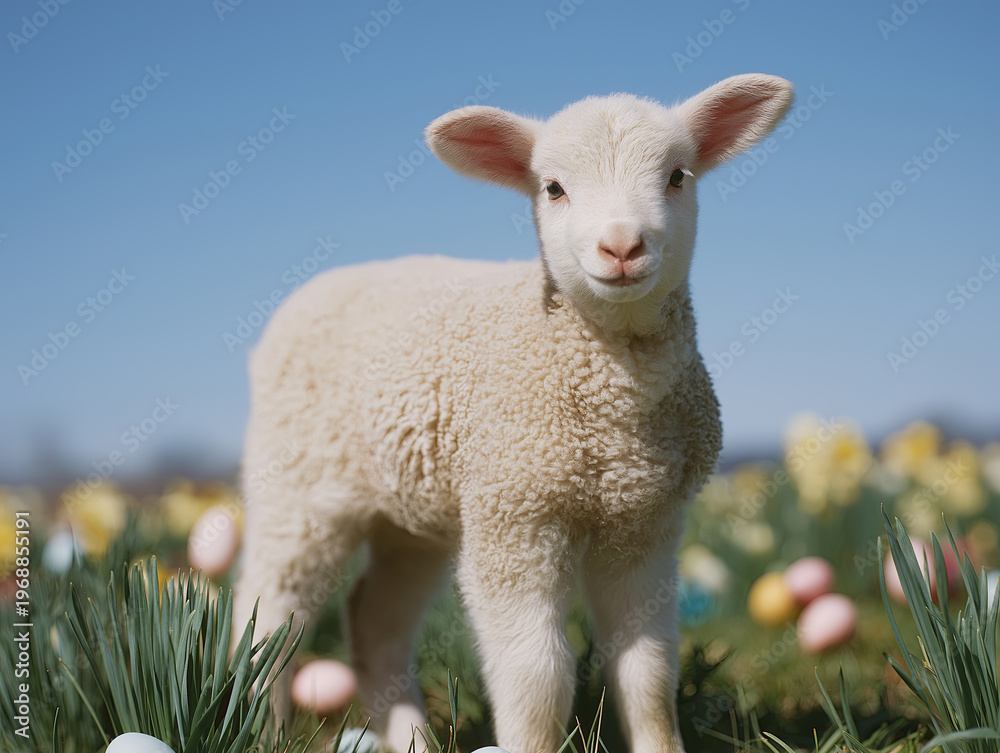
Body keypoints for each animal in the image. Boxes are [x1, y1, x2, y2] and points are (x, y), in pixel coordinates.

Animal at [233, 73, 794, 753]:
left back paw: (411, 735)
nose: (622, 246)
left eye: (678, 176)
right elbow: (537, 673)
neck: (616, 414)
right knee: (268, 613)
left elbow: (649, 670)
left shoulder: (646, 522)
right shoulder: (516, 514)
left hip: (414, 514)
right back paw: (258, 724)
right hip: (296, 487)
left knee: (373, 620)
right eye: (552, 188)